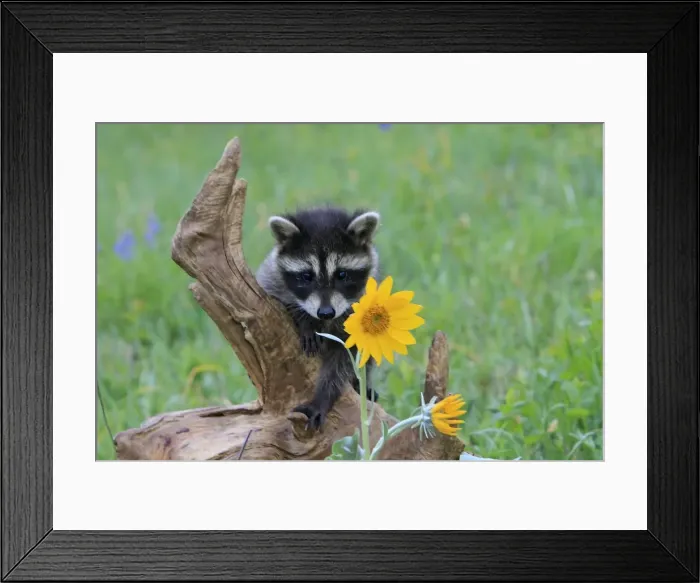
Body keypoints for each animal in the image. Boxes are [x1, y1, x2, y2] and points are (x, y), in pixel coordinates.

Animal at [255, 205, 382, 430]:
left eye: (342, 275)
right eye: (307, 276)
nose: (325, 312)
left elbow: (345, 360)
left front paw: (323, 396)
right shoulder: (270, 283)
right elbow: (281, 302)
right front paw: (306, 321)